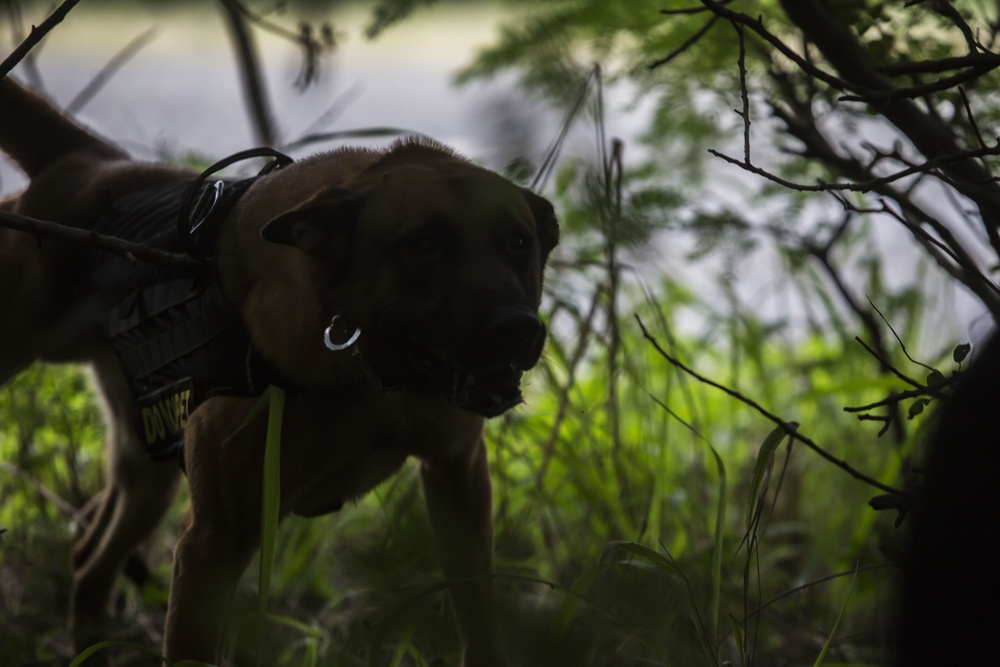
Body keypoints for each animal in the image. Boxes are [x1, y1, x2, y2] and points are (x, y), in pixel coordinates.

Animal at [0, 75, 556, 664]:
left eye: (517, 242)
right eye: (424, 244)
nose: (518, 329)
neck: (363, 366)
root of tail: (90, 162)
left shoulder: (458, 473)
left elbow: (480, 617)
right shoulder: (214, 541)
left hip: (148, 466)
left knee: (90, 561)